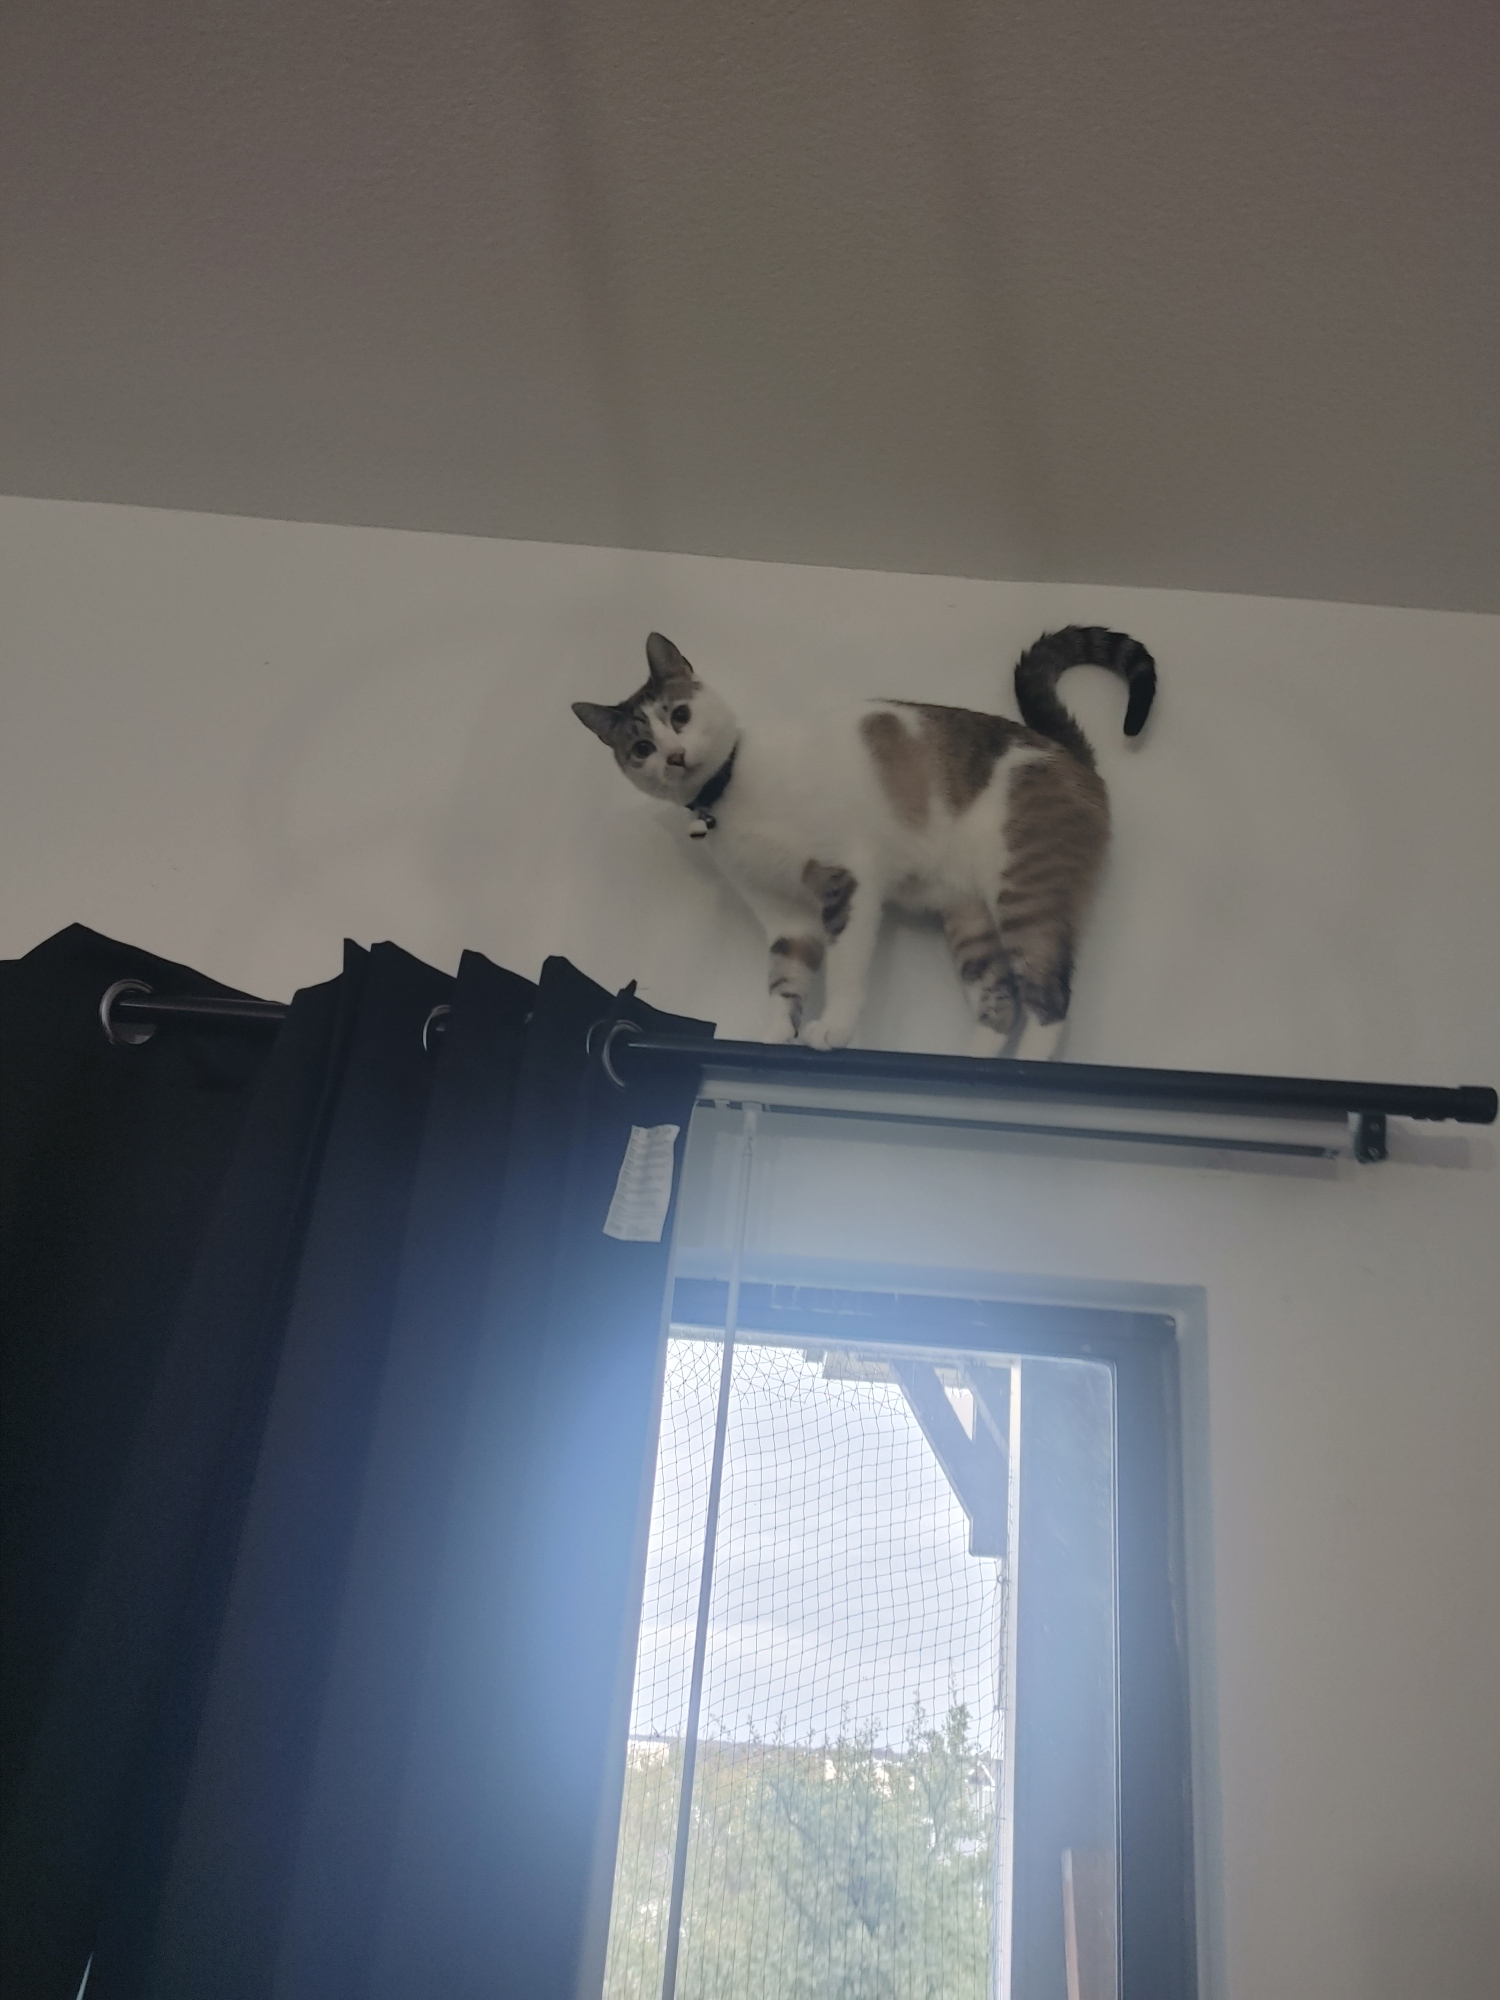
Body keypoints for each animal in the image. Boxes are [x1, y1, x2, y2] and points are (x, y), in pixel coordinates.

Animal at [572, 625, 1155, 1058]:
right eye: (641, 747)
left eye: (680, 715)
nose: (673, 757)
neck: (730, 790)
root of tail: (1070, 753)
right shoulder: (786, 917)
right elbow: (783, 979)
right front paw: (775, 1036)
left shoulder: (847, 880)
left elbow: (845, 969)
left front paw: (832, 1028)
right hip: (970, 921)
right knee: (1003, 1001)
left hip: (1023, 894)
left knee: (1050, 999)